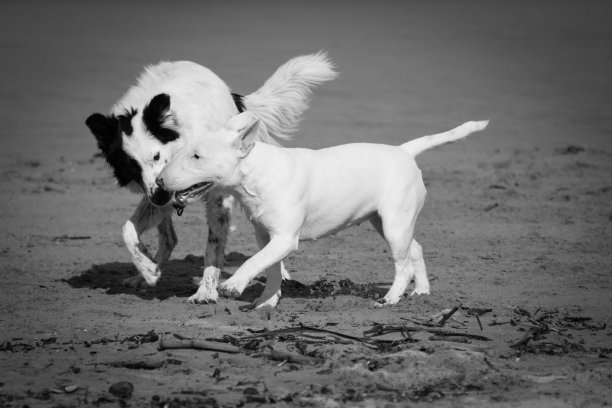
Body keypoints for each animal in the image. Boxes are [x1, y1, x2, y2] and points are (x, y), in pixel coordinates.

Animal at [85, 51, 338, 302]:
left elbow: (213, 248)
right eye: (131, 167)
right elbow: (128, 230)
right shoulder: (158, 192)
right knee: (168, 237)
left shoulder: (216, 197)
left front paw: (205, 291)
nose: (159, 196)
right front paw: (147, 269)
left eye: (156, 155)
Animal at [157, 110, 488, 308]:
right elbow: (270, 266)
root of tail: (404, 151)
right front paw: (267, 303)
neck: (259, 173)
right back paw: (421, 292)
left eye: (197, 156)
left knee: (403, 264)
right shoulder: (266, 236)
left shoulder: (285, 238)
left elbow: (253, 262)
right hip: (384, 221)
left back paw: (391, 299)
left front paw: (233, 286)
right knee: (415, 249)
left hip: (394, 222)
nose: (159, 181)